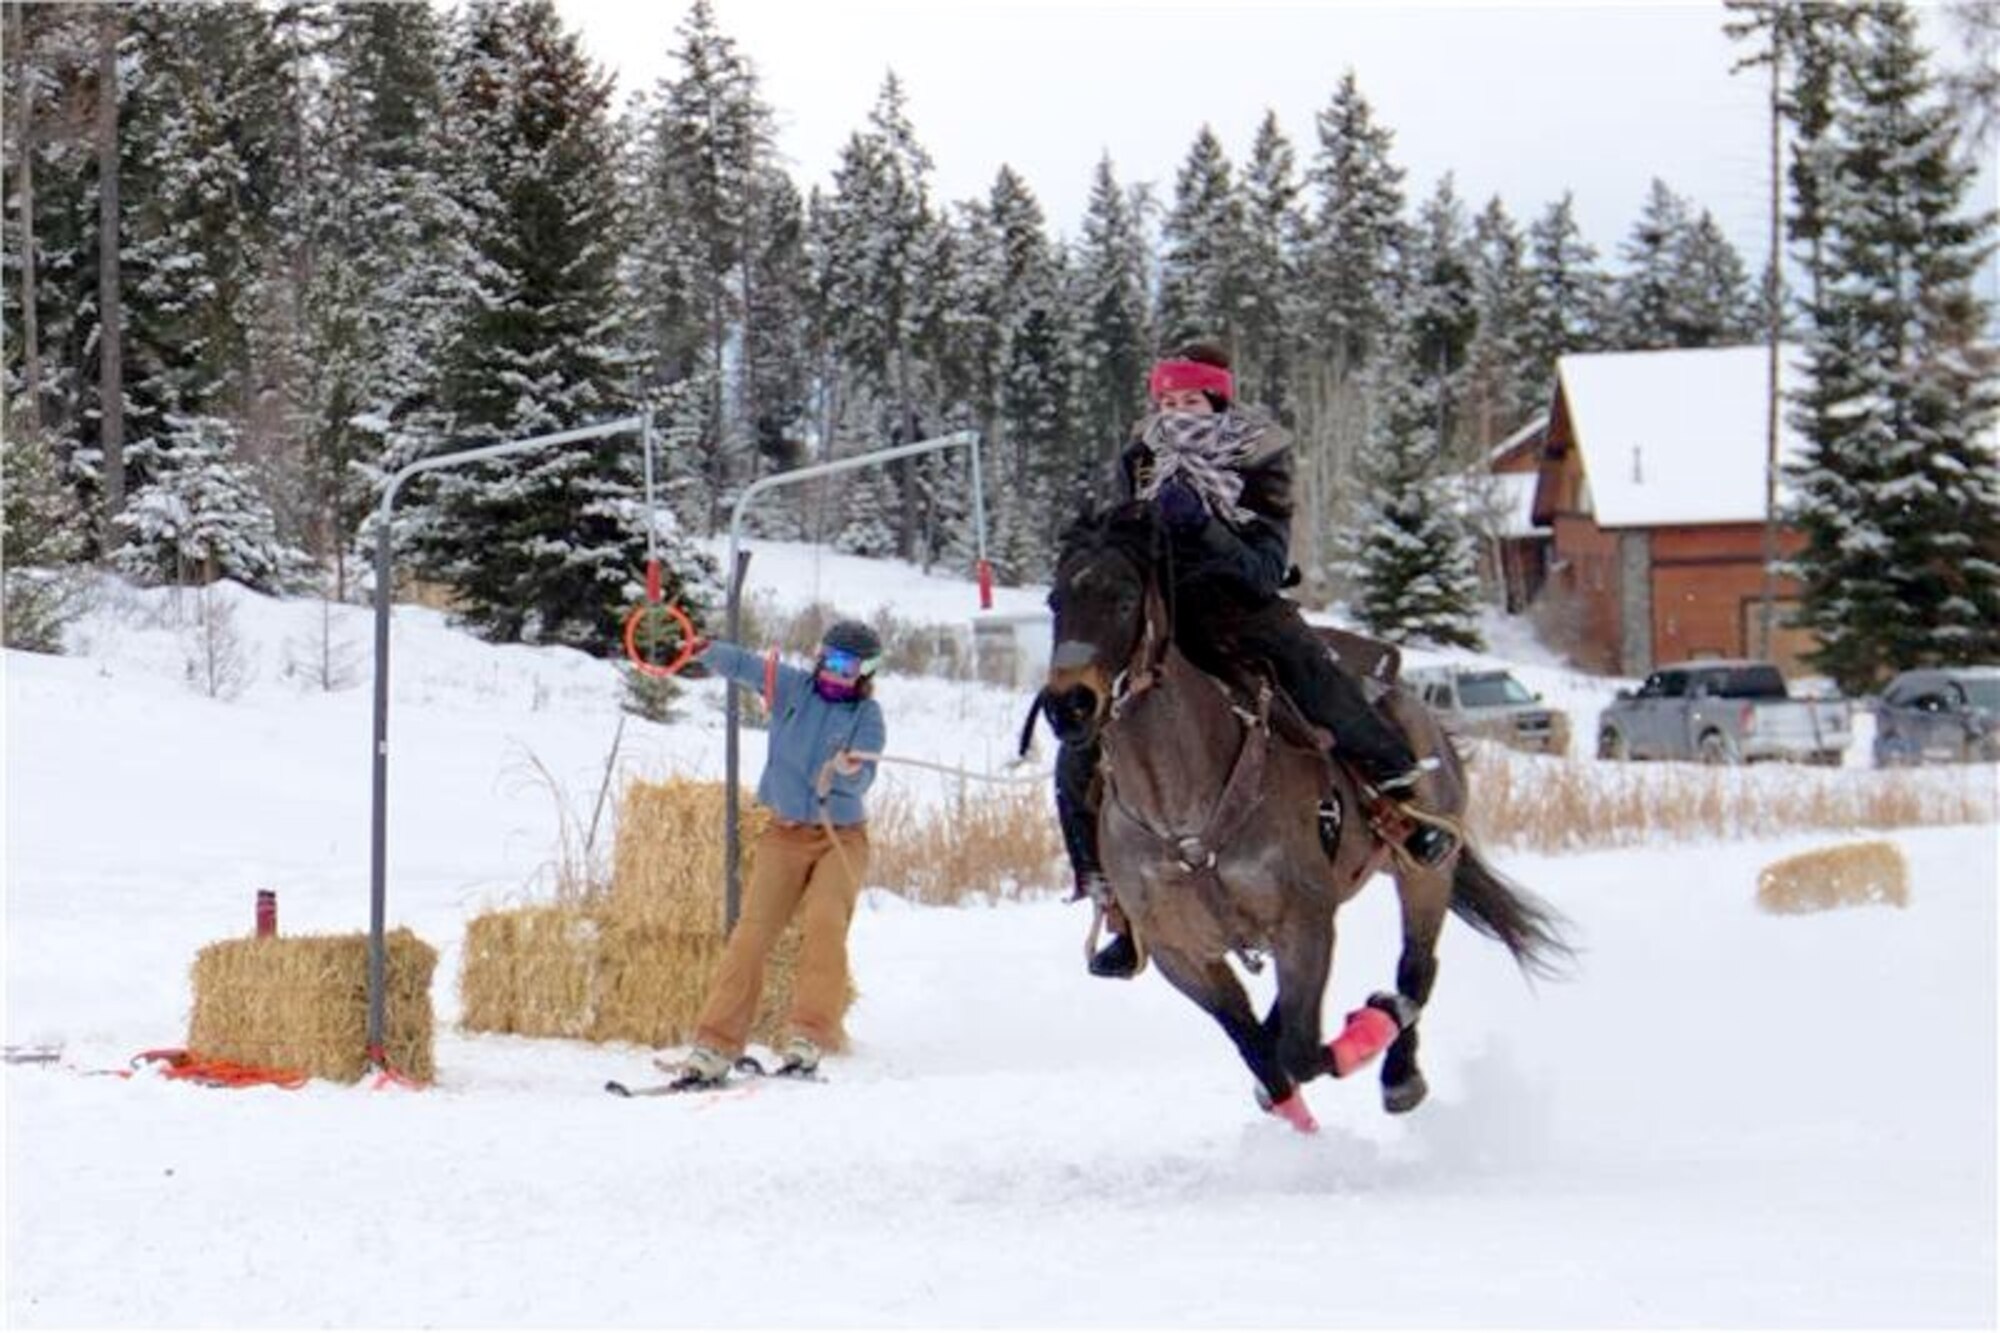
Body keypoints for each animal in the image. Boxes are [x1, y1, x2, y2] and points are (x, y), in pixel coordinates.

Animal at [1040, 504, 1568, 1128]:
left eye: (1123, 599)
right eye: (1054, 601)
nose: (1068, 706)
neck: (1181, 818)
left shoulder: (1305, 921)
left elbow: (1298, 1049)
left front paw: (1372, 1025)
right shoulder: (1179, 953)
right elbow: (1256, 1046)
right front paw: (1284, 1101)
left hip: (1425, 872)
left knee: (1417, 967)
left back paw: (1399, 1066)